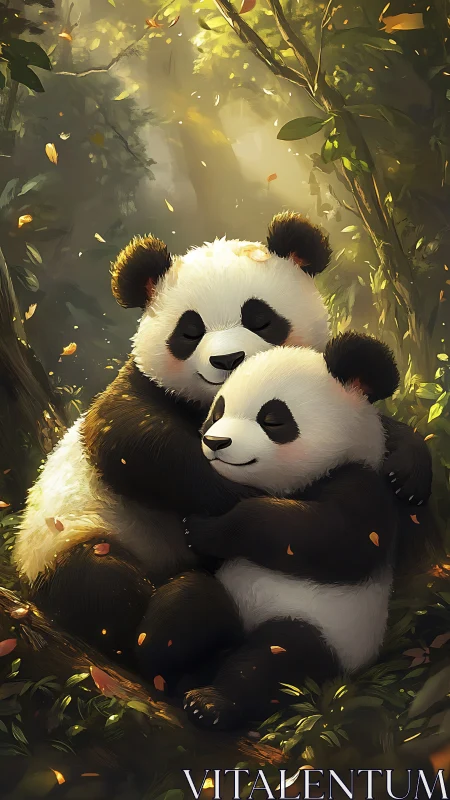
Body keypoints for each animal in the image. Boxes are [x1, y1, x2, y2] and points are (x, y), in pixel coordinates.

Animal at [13, 213, 431, 674]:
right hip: (70, 536)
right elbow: (133, 442)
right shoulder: (141, 389)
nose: (228, 360)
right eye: (189, 331)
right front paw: (237, 500)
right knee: (102, 586)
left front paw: (408, 471)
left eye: (260, 319)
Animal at [182, 333, 401, 730]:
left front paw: (204, 529)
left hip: (326, 633)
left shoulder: (361, 486)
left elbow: (329, 540)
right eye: (218, 411)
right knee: (190, 606)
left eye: (272, 418)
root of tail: (240, 630)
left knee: (276, 659)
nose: (215, 443)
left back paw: (210, 702)